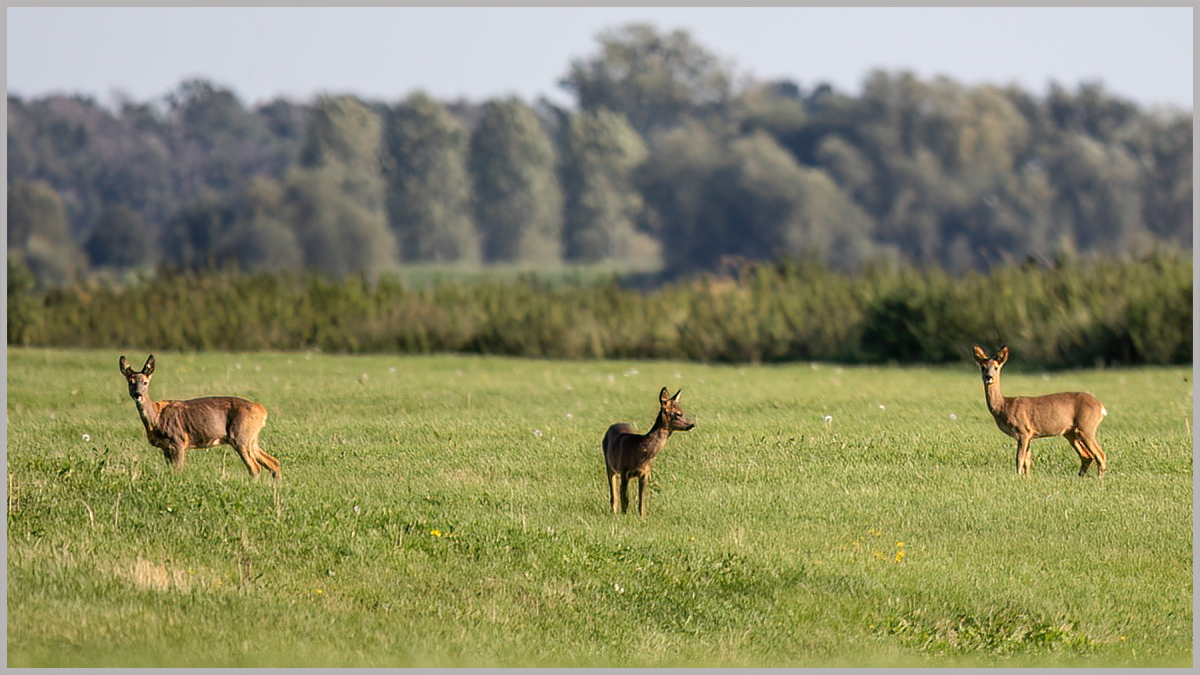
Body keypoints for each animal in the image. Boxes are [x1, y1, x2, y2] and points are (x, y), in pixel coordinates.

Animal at [120, 353, 282, 478]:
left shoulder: (178, 440)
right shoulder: (165, 447)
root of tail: (261, 410)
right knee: (273, 462)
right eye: (130, 382)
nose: (138, 394)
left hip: (240, 436)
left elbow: (178, 470)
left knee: (255, 467)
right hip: (251, 439)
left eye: (145, 382)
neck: (156, 418)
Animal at [600, 384, 696, 514]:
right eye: (677, 414)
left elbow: (641, 502)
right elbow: (625, 501)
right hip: (610, 466)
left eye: (683, 412)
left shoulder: (645, 473)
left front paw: (642, 516)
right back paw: (614, 512)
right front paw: (624, 516)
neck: (639, 453)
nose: (691, 424)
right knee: (613, 495)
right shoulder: (624, 470)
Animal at [974, 343, 1104, 475]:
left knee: (1100, 455)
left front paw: (1018, 476)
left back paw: (1099, 478)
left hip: (1086, 427)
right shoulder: (1029, 435)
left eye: (996, 367)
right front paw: (1027, 477)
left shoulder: (1023, 431)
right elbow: (1027, 461)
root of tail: (1101, 407)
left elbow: (1019, 458)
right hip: (1071, 432)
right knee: (1087, 456)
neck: (1004, 406)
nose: (988, 377)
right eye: (983, 367)